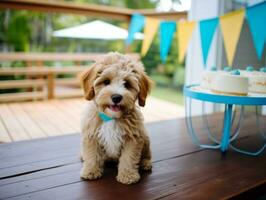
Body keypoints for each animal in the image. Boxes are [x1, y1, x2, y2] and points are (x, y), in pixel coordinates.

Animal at [79, 51, 152, 184]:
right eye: (106, 82)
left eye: (127, 84)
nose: (116, 97)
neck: (111, 118)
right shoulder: (91, 135)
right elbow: (92, 154)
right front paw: (90, 171)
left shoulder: (133, 138)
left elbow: (129, 157)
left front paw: (128, 175)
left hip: (145, 138)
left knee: (147, 154)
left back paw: (145, 163)